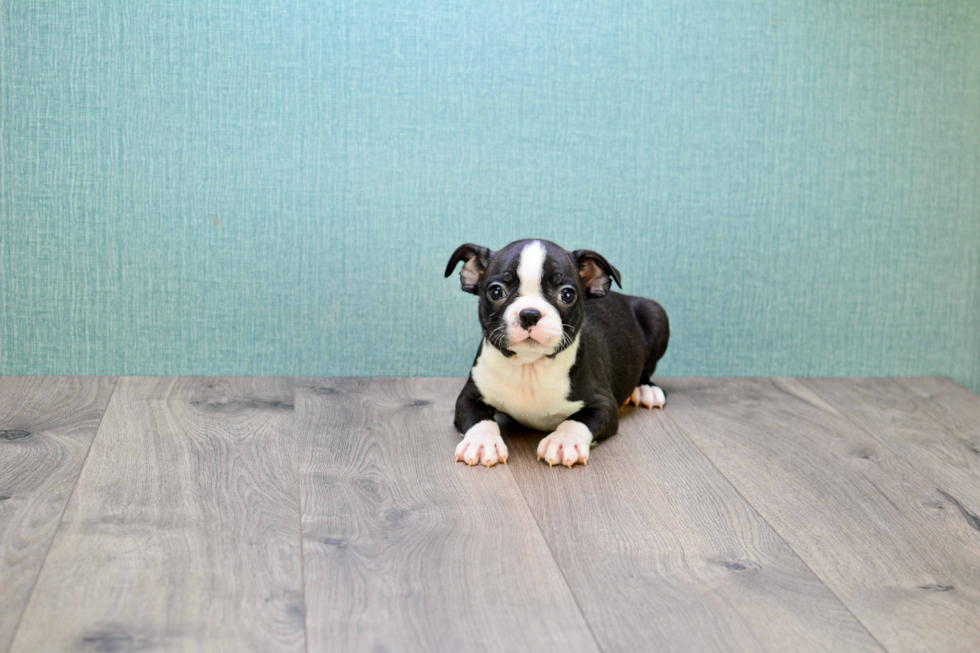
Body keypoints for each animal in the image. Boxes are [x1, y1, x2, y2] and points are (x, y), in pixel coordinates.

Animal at [448, 237, 668, 466]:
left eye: (567, 294)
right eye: (496, 291)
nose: (529, 314)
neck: (530, 367)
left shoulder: (604, 404)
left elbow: (578, 420)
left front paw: (564, 441)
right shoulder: (468, 396)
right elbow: (478, 417)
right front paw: (482, 441)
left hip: (655, 313)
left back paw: (646, 389)